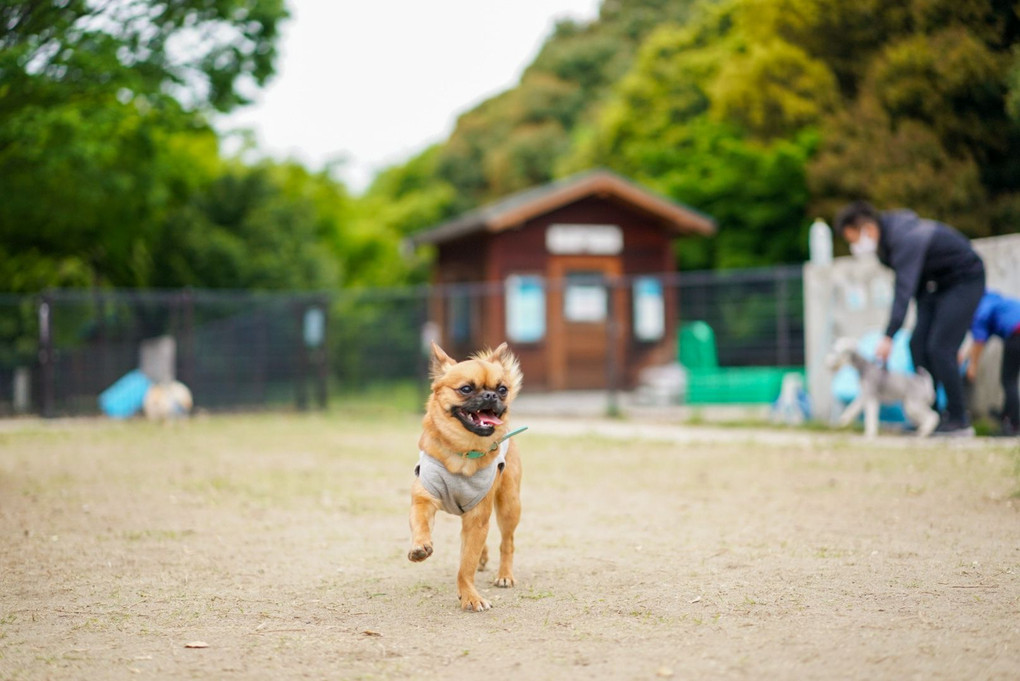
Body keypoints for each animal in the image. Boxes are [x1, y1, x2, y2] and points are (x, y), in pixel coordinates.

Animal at [405, 342, 522, 615]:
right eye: (466, 389)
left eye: (502, 389)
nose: (491, 395)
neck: (464, 451)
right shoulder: (423, 500)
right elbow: (421, 525)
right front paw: (419, 547)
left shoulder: (478, 517)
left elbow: (465, 564)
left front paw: (469, 595)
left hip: (509, 505)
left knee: (507, 541)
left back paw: (504, 574)